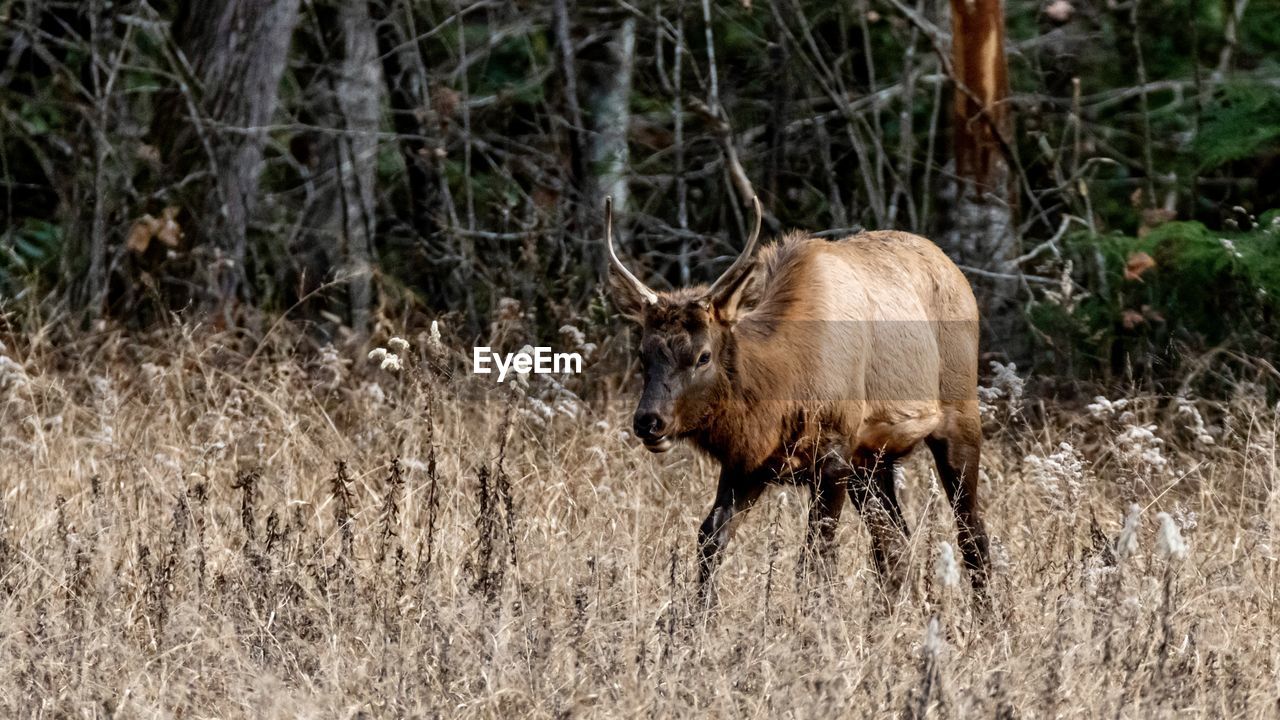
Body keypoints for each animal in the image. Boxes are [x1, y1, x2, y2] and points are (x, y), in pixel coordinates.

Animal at [606, 194, 988, 599]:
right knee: (895, 543)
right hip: (872, 462)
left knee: (971, 534)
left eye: (703, 356)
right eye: (643, 354)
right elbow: (710, 537)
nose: (649, 420)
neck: (783, 389)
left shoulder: (834, 455)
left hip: (959, 419)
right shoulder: (748, 463)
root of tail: (955, 271)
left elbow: (815, 559)